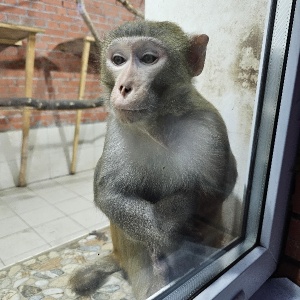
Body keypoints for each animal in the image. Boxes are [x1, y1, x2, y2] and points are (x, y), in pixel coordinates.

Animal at [69, 19, 237, 298]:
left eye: (148, 58)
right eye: (118, 60)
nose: (124, 87)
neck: (159, 124)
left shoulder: (209, 125)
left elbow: (219, 186)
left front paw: (178, 211)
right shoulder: (118, 128)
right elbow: (110, 194)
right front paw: (168, 233)